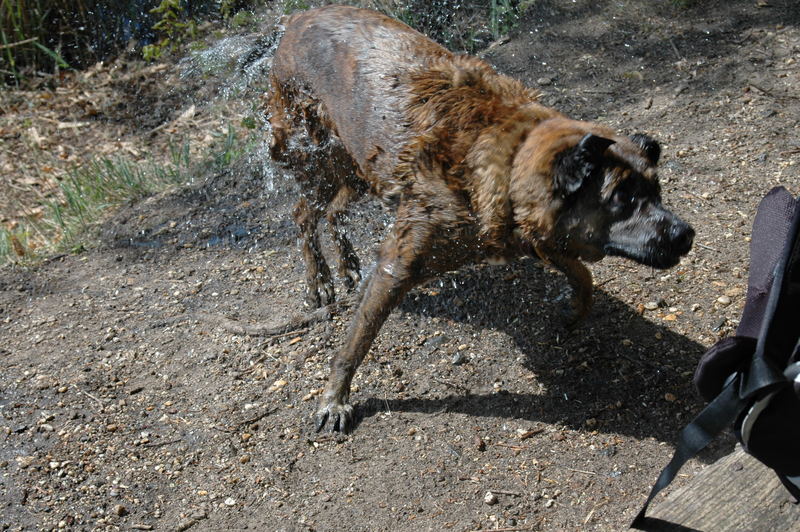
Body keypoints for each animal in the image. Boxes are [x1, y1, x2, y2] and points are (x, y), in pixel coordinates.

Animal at [268, 6, 692, 434]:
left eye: (656, 190)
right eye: (622, 198)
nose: (685, 234)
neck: (510, 157)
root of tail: (299, 17)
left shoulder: (536, 233)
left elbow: (581, 273)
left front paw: (574, 309)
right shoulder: (398, 265)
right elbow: (357, 341)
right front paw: (334, 399)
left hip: (357, 166)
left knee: (334, 210)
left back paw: (348, 266)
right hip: (316, 154)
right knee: (304, 213)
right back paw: (320, 281)